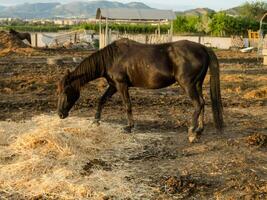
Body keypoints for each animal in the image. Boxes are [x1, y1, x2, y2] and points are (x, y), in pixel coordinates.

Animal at [56, 38, 224, 142]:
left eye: (65, 91)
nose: (60, 114)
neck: (111, 59)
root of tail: (202, 48)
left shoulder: (121, 85)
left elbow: (127, 105)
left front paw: (129, 127)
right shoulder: (113, 86)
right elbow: (101, 100)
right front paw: (96, 121)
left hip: (188, 85)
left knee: (197, 104)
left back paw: (191, 132)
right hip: (197, 84)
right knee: (202, 102)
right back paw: (199, 130)